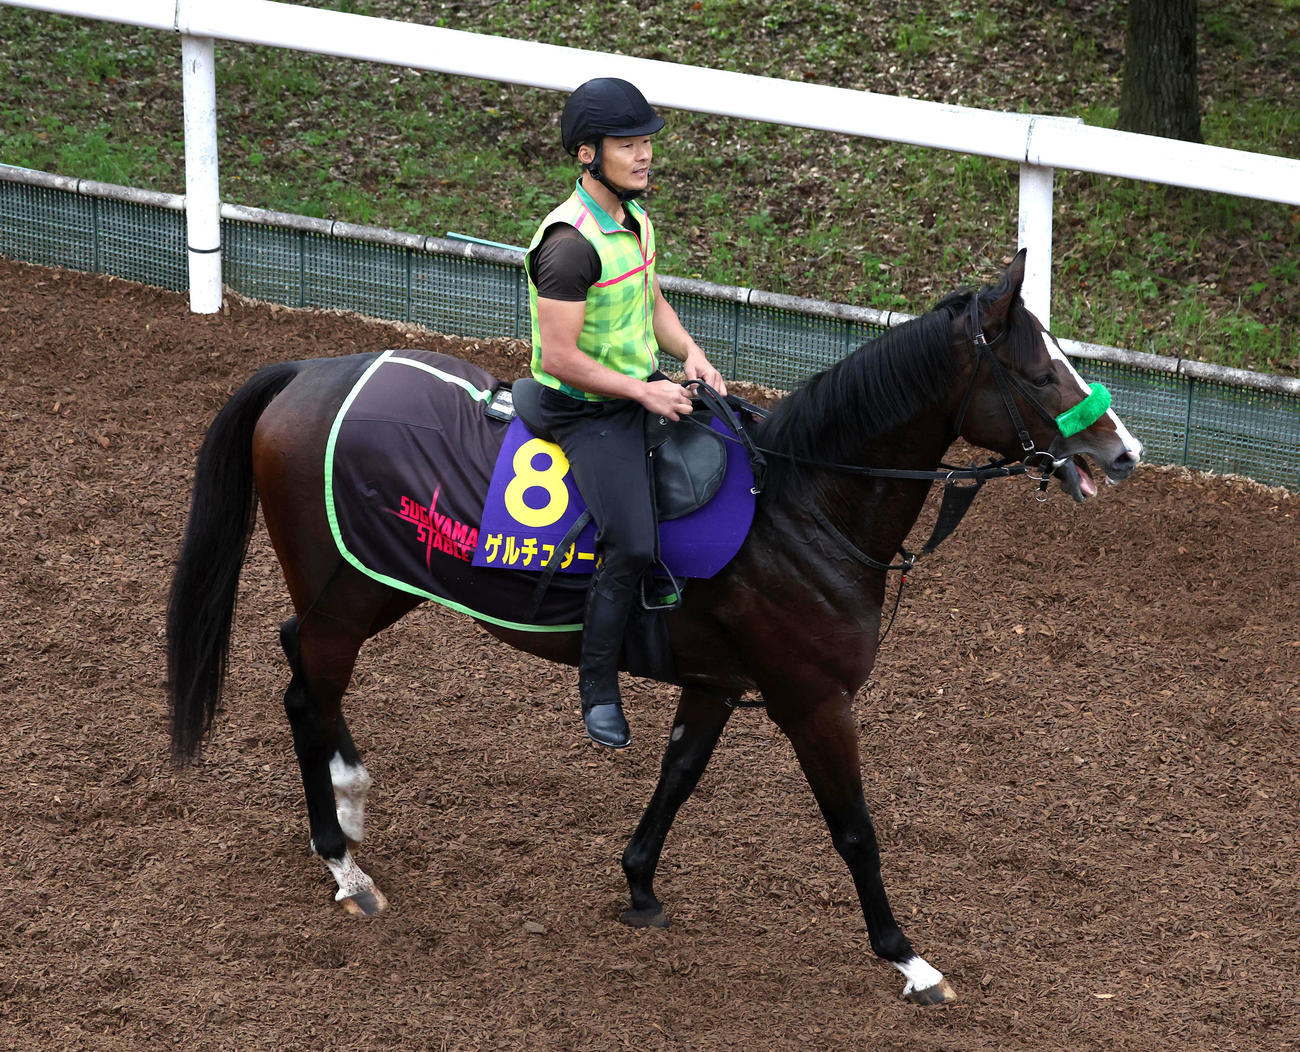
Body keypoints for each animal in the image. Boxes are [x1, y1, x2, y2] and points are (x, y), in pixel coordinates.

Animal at [166, 250, 1141, 1005]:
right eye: (1039, 372)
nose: (1122, 452)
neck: (801, 505)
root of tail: (308, 372)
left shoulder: (717, 682)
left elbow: (678, 777)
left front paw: (638, 882)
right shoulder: (814, 701)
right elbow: (855, 829)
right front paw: (908, 959)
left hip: (380, 583)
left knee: (302, 663)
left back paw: (348, 796)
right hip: (356, 592)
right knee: (305, 686)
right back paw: (343, 857)